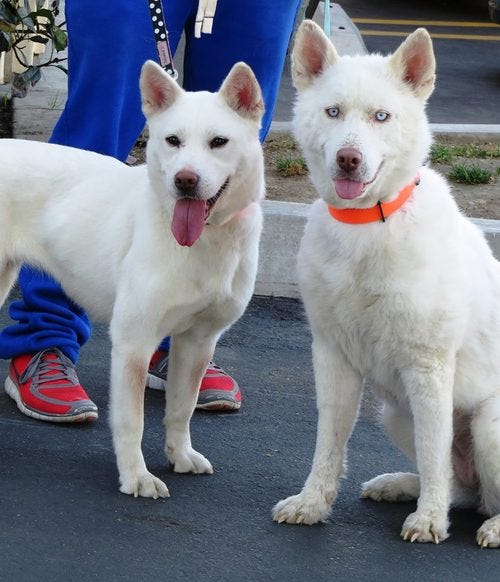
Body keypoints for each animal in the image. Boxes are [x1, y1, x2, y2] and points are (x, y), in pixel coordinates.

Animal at [0, 59, 266, 500]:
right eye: (173, 140)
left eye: (219, 142)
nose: (185, 181)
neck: (203, 242)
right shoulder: (133, 344)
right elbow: (132, 421)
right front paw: (135, 476)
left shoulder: (198, 342)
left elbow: (181, 408)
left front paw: (180, 455)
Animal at [274, 21, 500, 552]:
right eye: (333, 111)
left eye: (382, 116)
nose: (348, 159)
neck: (369, 225)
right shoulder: (332, 357)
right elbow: (328, 444)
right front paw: (312, 504)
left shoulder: (429, 368)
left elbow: (435, 453)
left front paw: (429, 521)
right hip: (395, 414)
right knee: (462, 486)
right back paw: (400, 484)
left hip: (488, 423)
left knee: (472, 487)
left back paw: (491, 524)